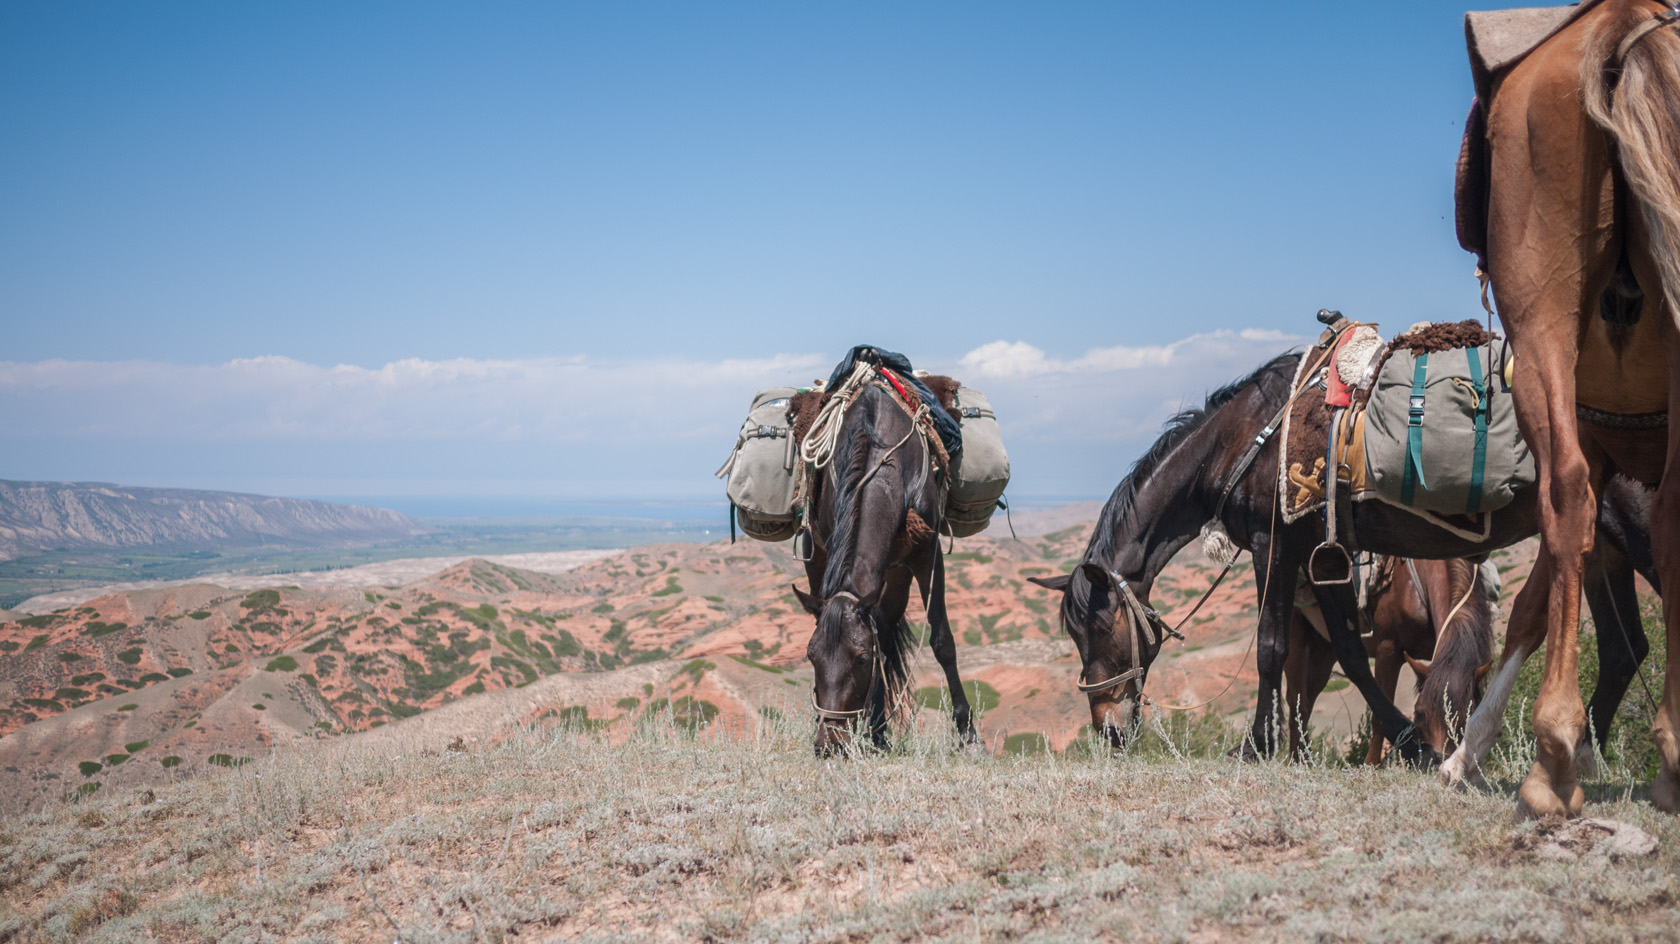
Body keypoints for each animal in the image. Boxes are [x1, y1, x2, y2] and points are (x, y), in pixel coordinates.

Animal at [792, 371, 981, 752]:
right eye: (810, 656)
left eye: (861, 657)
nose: (829, 743)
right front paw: (875, 729)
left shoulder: (927, 555)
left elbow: (942, 640)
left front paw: (967, 732)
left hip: (896, 574)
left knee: (888, 626)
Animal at [1034, 347, 1653, 765]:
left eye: (1100, 629)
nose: (1107, 730)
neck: (1244, 438)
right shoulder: (1325, 555)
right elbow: (1352, 656)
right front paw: (1409, 742)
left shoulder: (1276, 547)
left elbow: (1269, 648)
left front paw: (1255, 747)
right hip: (1601, 549)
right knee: (1623, 648)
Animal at [1438, 0, 1680, 812]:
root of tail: (1623, 20)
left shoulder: (1593, 448)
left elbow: (1531, 600)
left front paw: (1467, 755)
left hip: (1539, 314)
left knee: (1566, 498)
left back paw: (1551, 763)